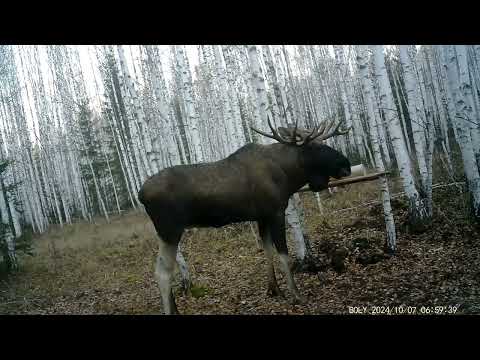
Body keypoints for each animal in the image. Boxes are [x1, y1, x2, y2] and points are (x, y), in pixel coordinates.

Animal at [137, 119, 350, 316]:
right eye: (315, 146)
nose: (346, 165)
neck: (288, 174)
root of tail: (140, 194)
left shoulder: (262, 217)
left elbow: (267, 250)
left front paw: (274, 290)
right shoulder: (275, 212)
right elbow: (284, 255)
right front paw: (296, 295)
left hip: (167, 232)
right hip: (170, 230)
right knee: (162, 273)